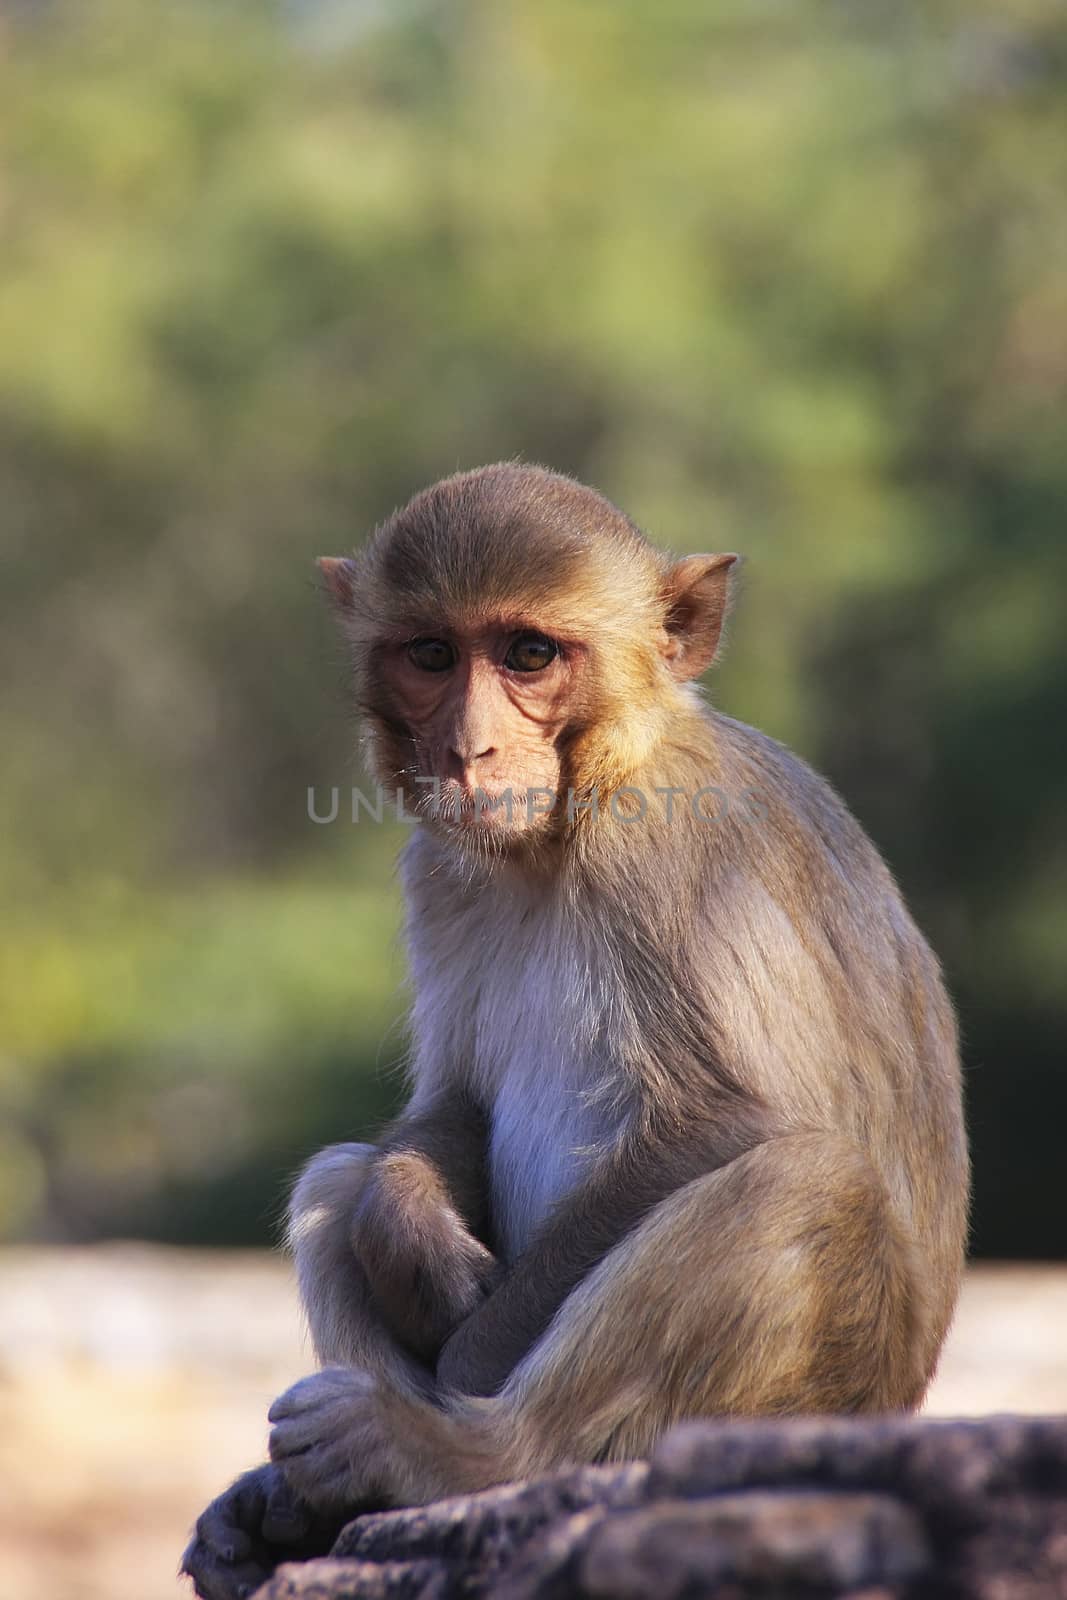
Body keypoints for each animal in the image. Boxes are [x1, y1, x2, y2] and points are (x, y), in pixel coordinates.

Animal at [183, 464, 966, 1600]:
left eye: (528, 655)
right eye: (432, 654)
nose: (468, 749)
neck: (571, 817)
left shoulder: (665, 843)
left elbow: (734, 1118)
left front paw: (460, 1372)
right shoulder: (439, 872)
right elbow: (449, 1107)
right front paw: (408, 1228)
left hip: (821, 1394)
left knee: (806, 1180)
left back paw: (450, 1455)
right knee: (334, 1175)